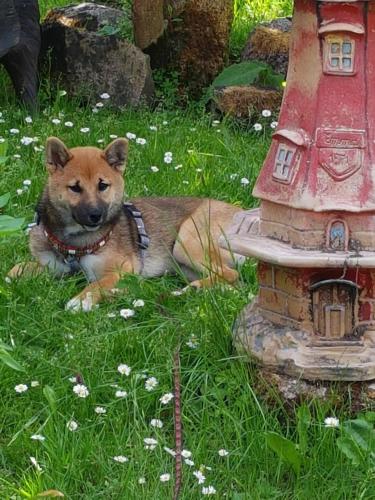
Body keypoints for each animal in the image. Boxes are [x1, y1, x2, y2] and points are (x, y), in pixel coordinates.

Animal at [9, 136, 244, 308]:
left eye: (102, 185)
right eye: (75, 187)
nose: (95, 215)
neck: (73, 242)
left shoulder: (123, 268)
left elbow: (99, 284)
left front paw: (82, 299)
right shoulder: (52, 265)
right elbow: (16, 269)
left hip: (187, 239)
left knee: (231, 274)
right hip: (184, 265)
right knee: (233, 283)